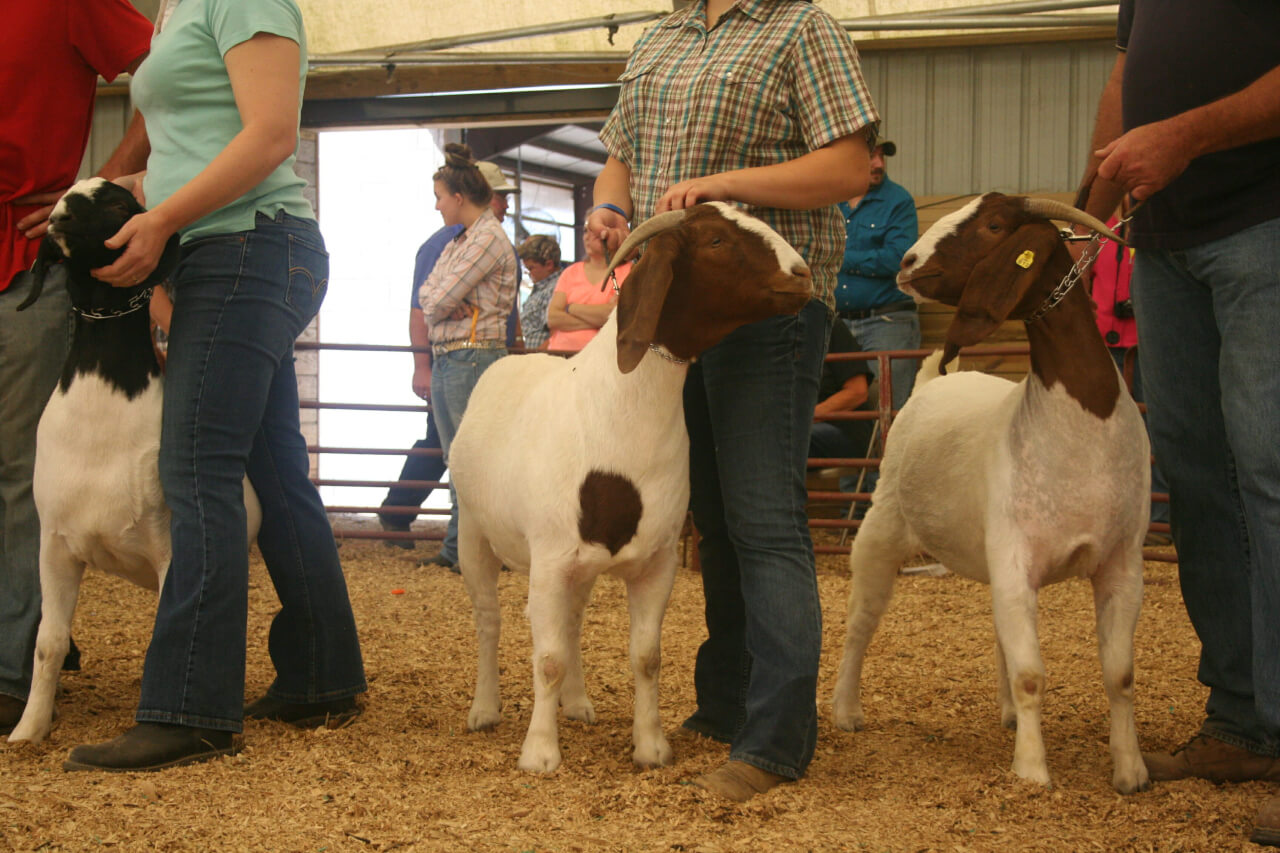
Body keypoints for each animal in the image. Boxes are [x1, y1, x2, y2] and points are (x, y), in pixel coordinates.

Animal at [8, 179, 259, 742]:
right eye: (68, 194)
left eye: (119, 205)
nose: (59, 215)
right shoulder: (54, 546)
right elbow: (48, 642)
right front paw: (29, 729)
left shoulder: (169, 547)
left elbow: (171, 635)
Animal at [448, 201, 808, 768]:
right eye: (715, 241)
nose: (803, 275)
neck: (614, 419)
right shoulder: (549, 560)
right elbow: (547, 658)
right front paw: (540, 753)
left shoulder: (656, 562)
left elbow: (646, 657)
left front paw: (651, 746)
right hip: (473, 532)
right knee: (488, 618)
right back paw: (485, 710)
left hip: (582, 567)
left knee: (573, 621)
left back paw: (576, 704)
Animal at [829, 192, 1152, 788]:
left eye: (996, 225)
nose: (907, 263)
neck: (1081, 423)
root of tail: (933, 382)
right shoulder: (1016, 555)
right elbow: (1030, 675)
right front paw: (1032, 771)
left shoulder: (1121, 562)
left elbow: (1120, 674)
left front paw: (1131, 771)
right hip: (881, 530)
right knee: (860, 623)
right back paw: (845, 711)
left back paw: (1005, 716)